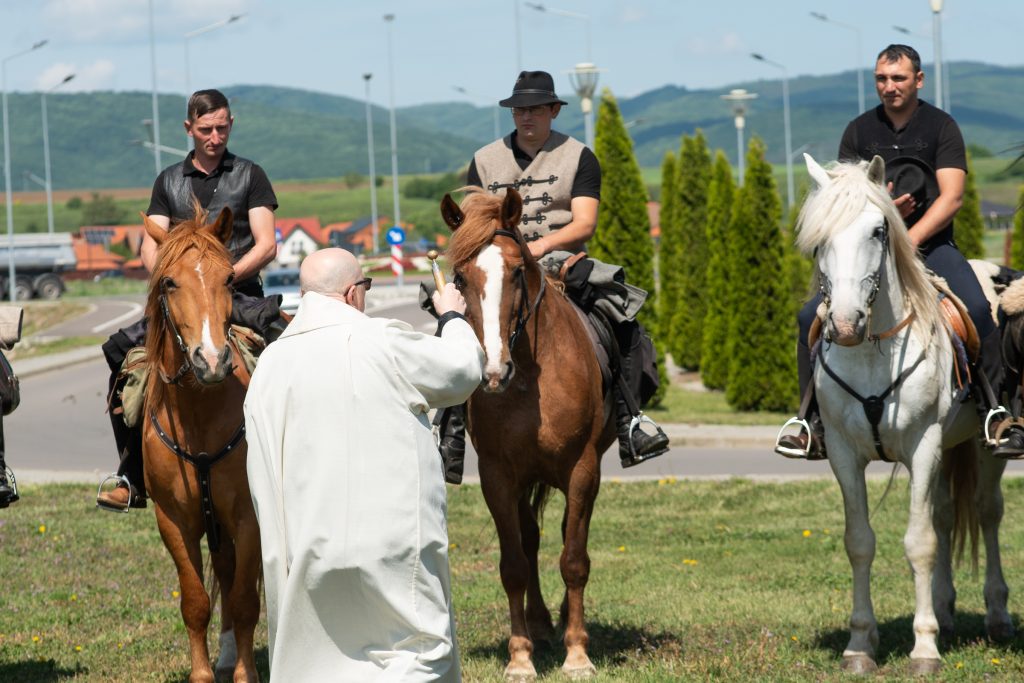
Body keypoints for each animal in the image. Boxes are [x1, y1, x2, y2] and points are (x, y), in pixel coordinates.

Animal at [142, 208, 262, 683]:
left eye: (228, 278)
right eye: (169, 282)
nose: (211, 360)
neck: (199, 414)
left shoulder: (247, 515)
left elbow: (246, 601)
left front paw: (246, 675)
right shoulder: (173, 520)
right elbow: (195, 602)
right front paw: (204, 673)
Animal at [442, 185, 614, 679]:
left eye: (518, 270)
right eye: (460, 277)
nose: (493, 370)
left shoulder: (582, 469)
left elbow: (574, 559)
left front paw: (578, 654)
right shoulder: (499, 477)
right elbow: (514, 564)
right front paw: (520, 657)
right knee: (532, 540)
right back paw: (539, 624)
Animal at [794, 156, 1011, 679]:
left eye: (878, 230)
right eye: (819, 239)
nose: (845, 324)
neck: (874, 349)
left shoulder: (923, 444)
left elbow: (919, 543)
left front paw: (925, 648)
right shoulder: (844, 453)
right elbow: (859, 541)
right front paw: (860, 644)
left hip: (980, 448)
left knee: (987, 512)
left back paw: (996, 615)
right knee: (948, 514)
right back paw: (947, 610)